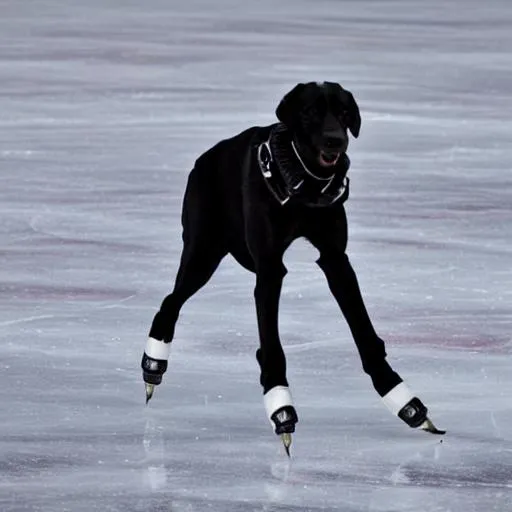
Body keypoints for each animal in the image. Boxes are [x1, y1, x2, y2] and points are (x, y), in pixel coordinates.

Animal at [141, 82, 444, 450]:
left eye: (344, 112)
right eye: (310, 111)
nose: (335, 141)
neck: (303, 186)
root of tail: (204, 159)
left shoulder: (335, 259)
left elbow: (363, 329)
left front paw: (402, 398)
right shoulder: (270, 268)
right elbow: (271, 344)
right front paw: (281, 407)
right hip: (203, 251)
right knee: (171, 302)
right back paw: (153, 365)